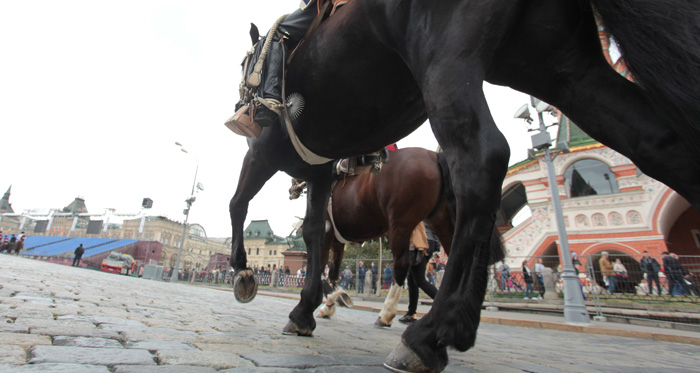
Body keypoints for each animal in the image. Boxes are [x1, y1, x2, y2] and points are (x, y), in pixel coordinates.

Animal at [231, 1, 700, 370]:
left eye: (246, 62)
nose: (243, 101)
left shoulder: (263, 154)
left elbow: (241, 206)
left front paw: (246, 274)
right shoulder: (322, 175)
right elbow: (312, 238)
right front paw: (308, 308)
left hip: (444, 64)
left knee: (480, 161)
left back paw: (427, 332)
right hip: (558, 68)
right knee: (659, 143)